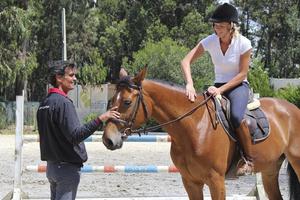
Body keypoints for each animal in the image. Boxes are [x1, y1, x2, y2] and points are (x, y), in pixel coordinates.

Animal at [102, 68, 300, 200]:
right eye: (111, 100)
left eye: (127, 102)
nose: (108, 140)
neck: (194, 127)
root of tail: (292, 108)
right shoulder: (190, 182)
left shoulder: (216, 181)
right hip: (269, 170)